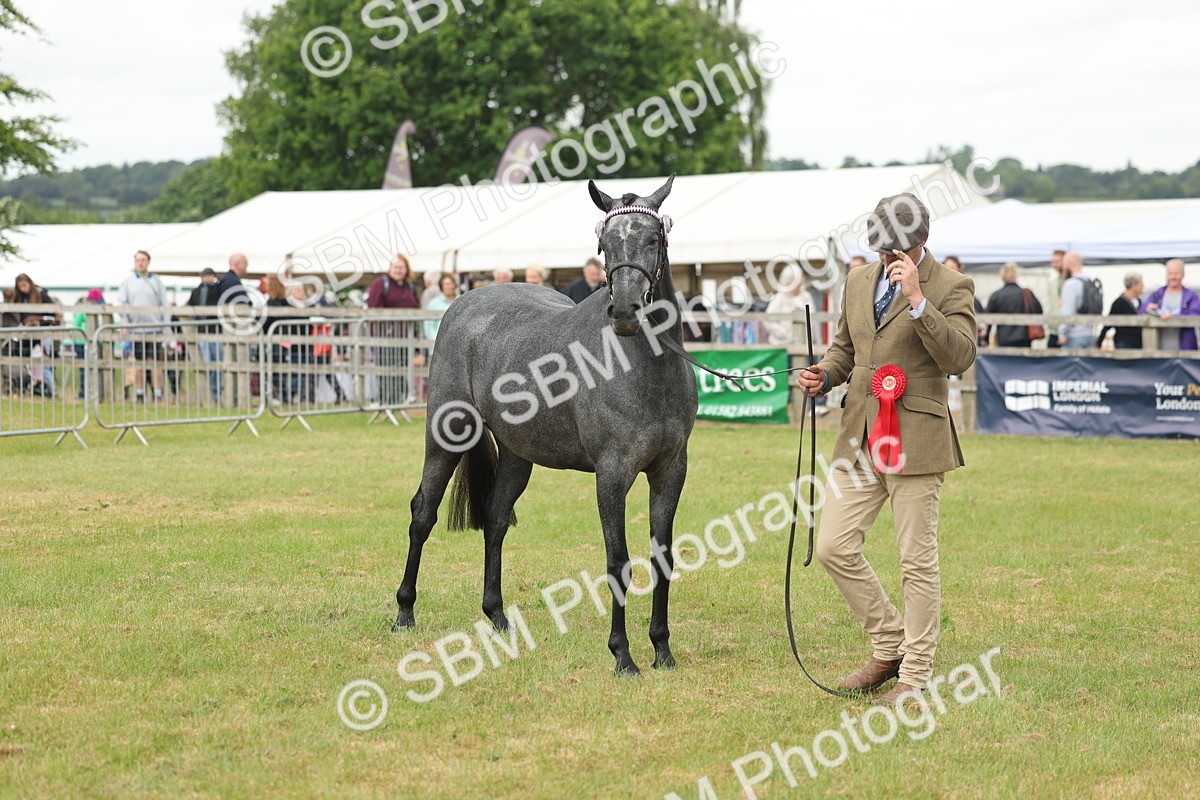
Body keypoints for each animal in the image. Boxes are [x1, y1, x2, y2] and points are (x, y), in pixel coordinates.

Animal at [393, 175, 698, 675]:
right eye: (603, 243)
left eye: (654, 239)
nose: (626, 311)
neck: (645, 368)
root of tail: (464, 304)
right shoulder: (612, 474)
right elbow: (618, 562)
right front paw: (623, 656)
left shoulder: (671, 470)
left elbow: (662, 557)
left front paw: (662, 650)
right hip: (446, 437)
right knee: (423, 514)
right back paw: (404, 612)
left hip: (518, 456)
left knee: (496, 519)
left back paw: (497, 616)